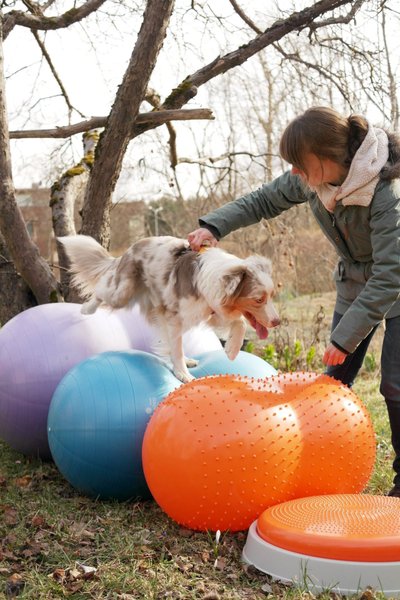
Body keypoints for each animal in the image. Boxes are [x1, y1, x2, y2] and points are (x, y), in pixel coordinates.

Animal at [57, 236, 280, 382]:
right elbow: (177, 349)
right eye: (258, 299)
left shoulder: (209, 311)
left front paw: (232, 349)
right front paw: (183, 375)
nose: (277, 322)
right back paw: (87, 308)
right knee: (101, 291)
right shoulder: (174, 316)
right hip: (121, 292)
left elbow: (239, 322)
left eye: (271, 296)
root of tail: (129, 250)